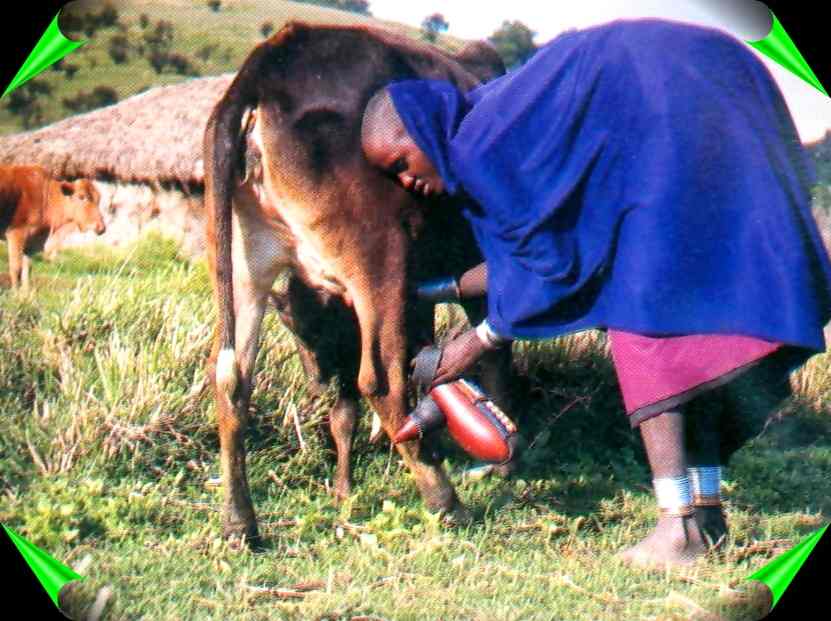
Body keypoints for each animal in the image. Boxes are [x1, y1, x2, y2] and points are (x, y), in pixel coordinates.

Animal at [205, 20, 510, 544]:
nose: (317, 376)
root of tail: (264, 66)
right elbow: (487, 354)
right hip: (379, 257)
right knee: (382, 381)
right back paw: (445, 500)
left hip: (246, 261)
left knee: (232, 376)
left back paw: (239, 521)